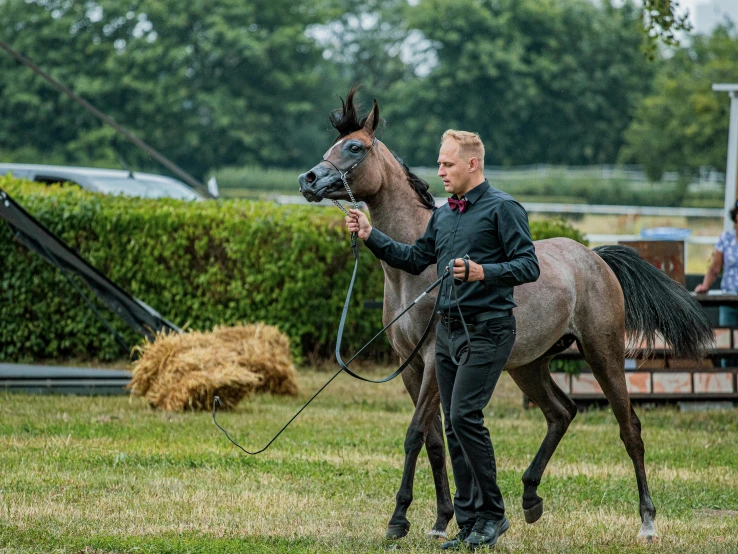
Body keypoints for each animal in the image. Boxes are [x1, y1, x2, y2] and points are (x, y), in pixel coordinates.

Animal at [294, 87, 712, 540]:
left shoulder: (431, 361)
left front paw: (399, 519)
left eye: (355, 147)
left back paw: (647, 521)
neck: (416, 273)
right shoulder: (411, 365)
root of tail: (594, 257)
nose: (308, 180)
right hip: (528, 365)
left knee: (629, 427)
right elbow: (435, 441)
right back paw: (529, 498)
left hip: (604, 354)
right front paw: (441, 521)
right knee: (561, 413)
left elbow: (415, 434)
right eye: (333, 145)